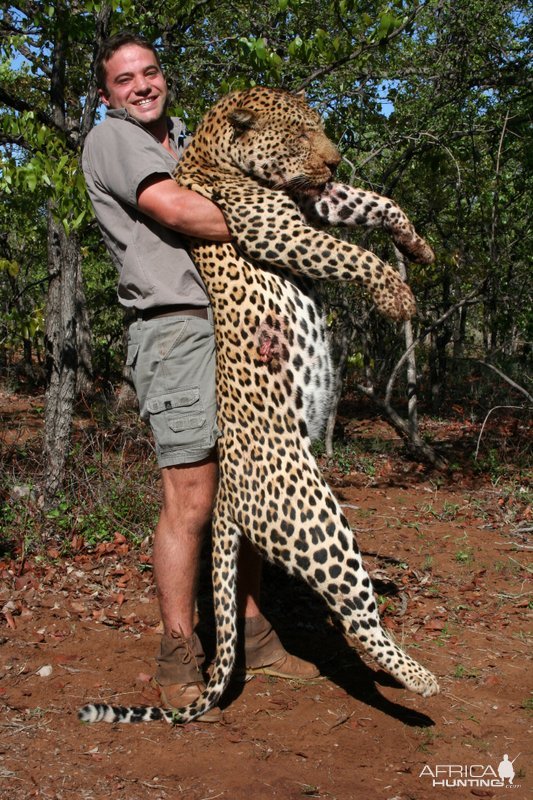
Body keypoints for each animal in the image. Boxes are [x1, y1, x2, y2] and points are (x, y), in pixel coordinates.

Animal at [78, 87, 436, 724]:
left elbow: (379, 202)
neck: (213, 152)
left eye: (320, 129)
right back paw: (419, 682)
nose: (334, 161)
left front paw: (418, 246)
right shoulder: (277, 230)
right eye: (298, 133)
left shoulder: (316, 201)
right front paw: (395, 296)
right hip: (319, 520)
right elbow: (352, 254)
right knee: (356, 614)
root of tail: (226, 499)